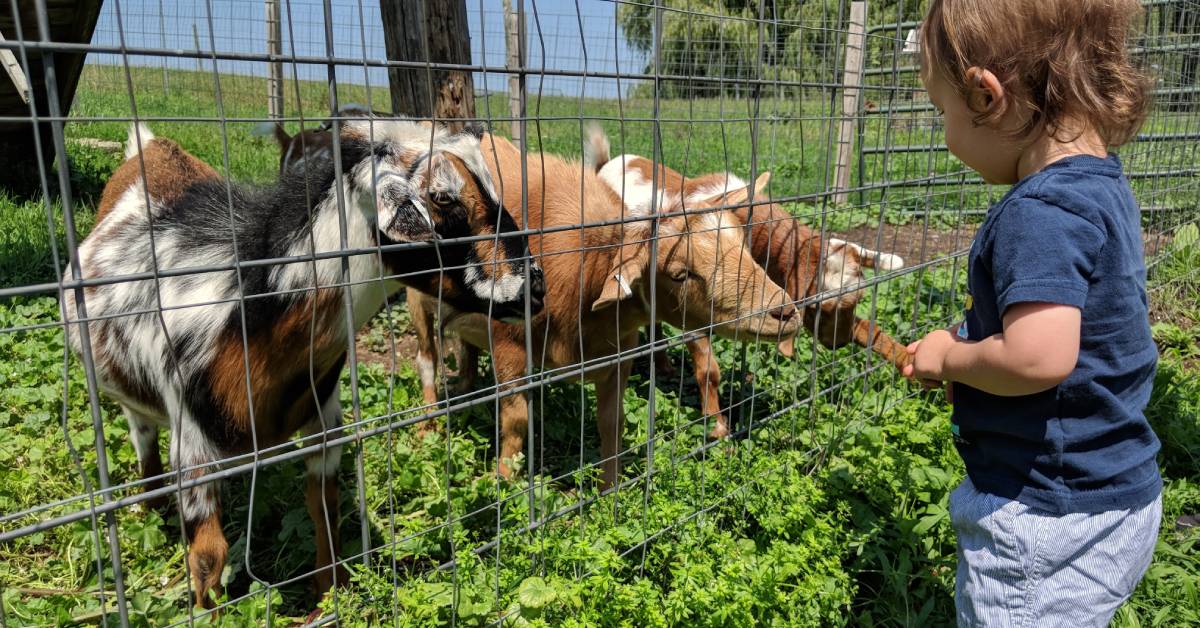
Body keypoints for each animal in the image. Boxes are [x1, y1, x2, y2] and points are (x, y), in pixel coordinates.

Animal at [64, 120, 544, 609]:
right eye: (443, 198)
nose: (534, 285)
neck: (252, 313)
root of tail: (152, 147)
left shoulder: (324, 419)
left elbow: (324, 508)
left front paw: (330, 594)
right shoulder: (191, 442)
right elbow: (208, 558)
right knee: (143, 442)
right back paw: (152, 508)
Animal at [408, 133, 798, 488]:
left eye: (744, 248)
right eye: (680, 274)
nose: (785, 313)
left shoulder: (619, 352)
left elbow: (612, 422)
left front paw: (609, 492)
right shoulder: (510, 347)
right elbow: (517, 421)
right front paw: (504, 482)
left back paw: (465, 387)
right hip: (413, 297)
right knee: (426, 358)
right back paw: (428, 427)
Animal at [588, 128, 910, 437]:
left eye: (858, 301)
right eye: (821, 309)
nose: (838, 343)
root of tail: (610, 163)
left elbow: (871, 331)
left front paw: (908, 359)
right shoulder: (692, 304)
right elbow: (708, 369)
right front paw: (717, 427)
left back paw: (665, 366)